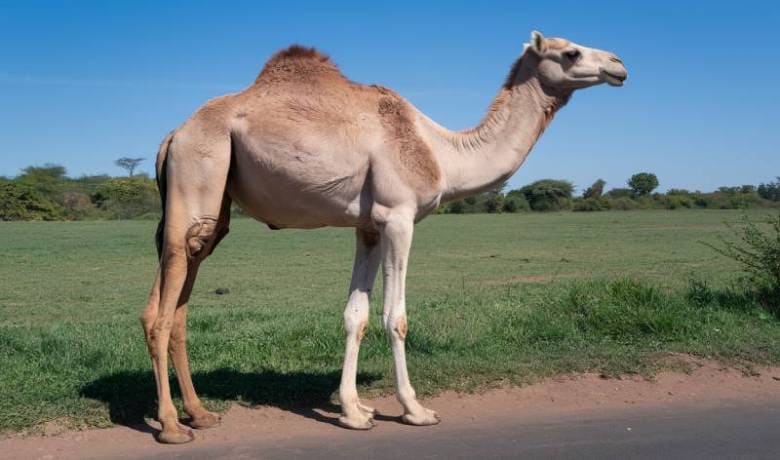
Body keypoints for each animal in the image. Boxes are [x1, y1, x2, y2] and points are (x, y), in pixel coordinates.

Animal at [139, 29, 628, 442]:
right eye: (571, 52)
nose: (619, 64)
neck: (442, 153)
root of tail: (172, 135)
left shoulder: (369, 226)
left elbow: (355, 315)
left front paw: (355, 411)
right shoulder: (398, 217)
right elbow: (397, 317)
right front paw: (415, 409)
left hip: (213, 202)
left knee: (174, 303)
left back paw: (200, 414)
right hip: (198, 173)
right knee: (164, 308)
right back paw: (171, 426)